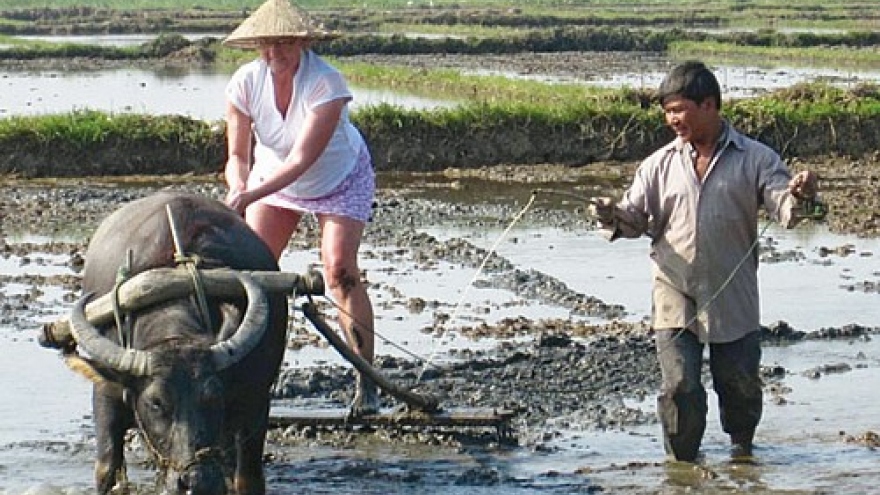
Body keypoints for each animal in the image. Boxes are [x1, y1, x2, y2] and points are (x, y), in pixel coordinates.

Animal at [69, 191, 288, 495]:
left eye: (213, 395)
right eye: (156, 403)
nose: (196, 481)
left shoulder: (255, 400)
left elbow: (247, 479)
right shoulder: (106, 393)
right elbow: (106, 470)